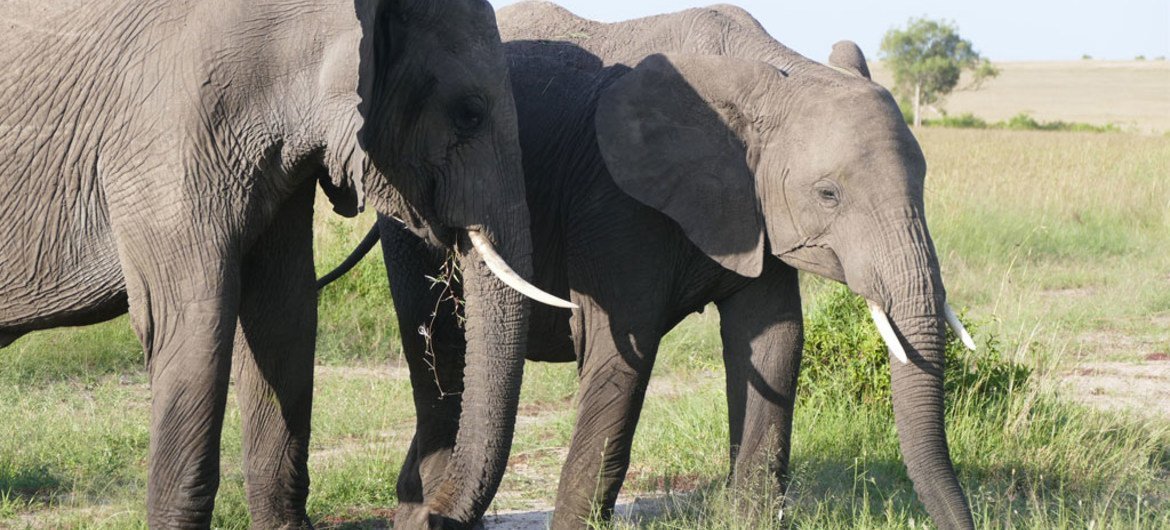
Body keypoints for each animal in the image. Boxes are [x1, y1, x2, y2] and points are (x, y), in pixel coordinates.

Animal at [318, 3, 978, 528]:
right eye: (829, 195)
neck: (774, 70)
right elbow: (620, 352)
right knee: (438, 357)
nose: (961, 521)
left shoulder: (752, 205)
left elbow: (775, 342)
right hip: (407, 210)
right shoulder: (617, 200)